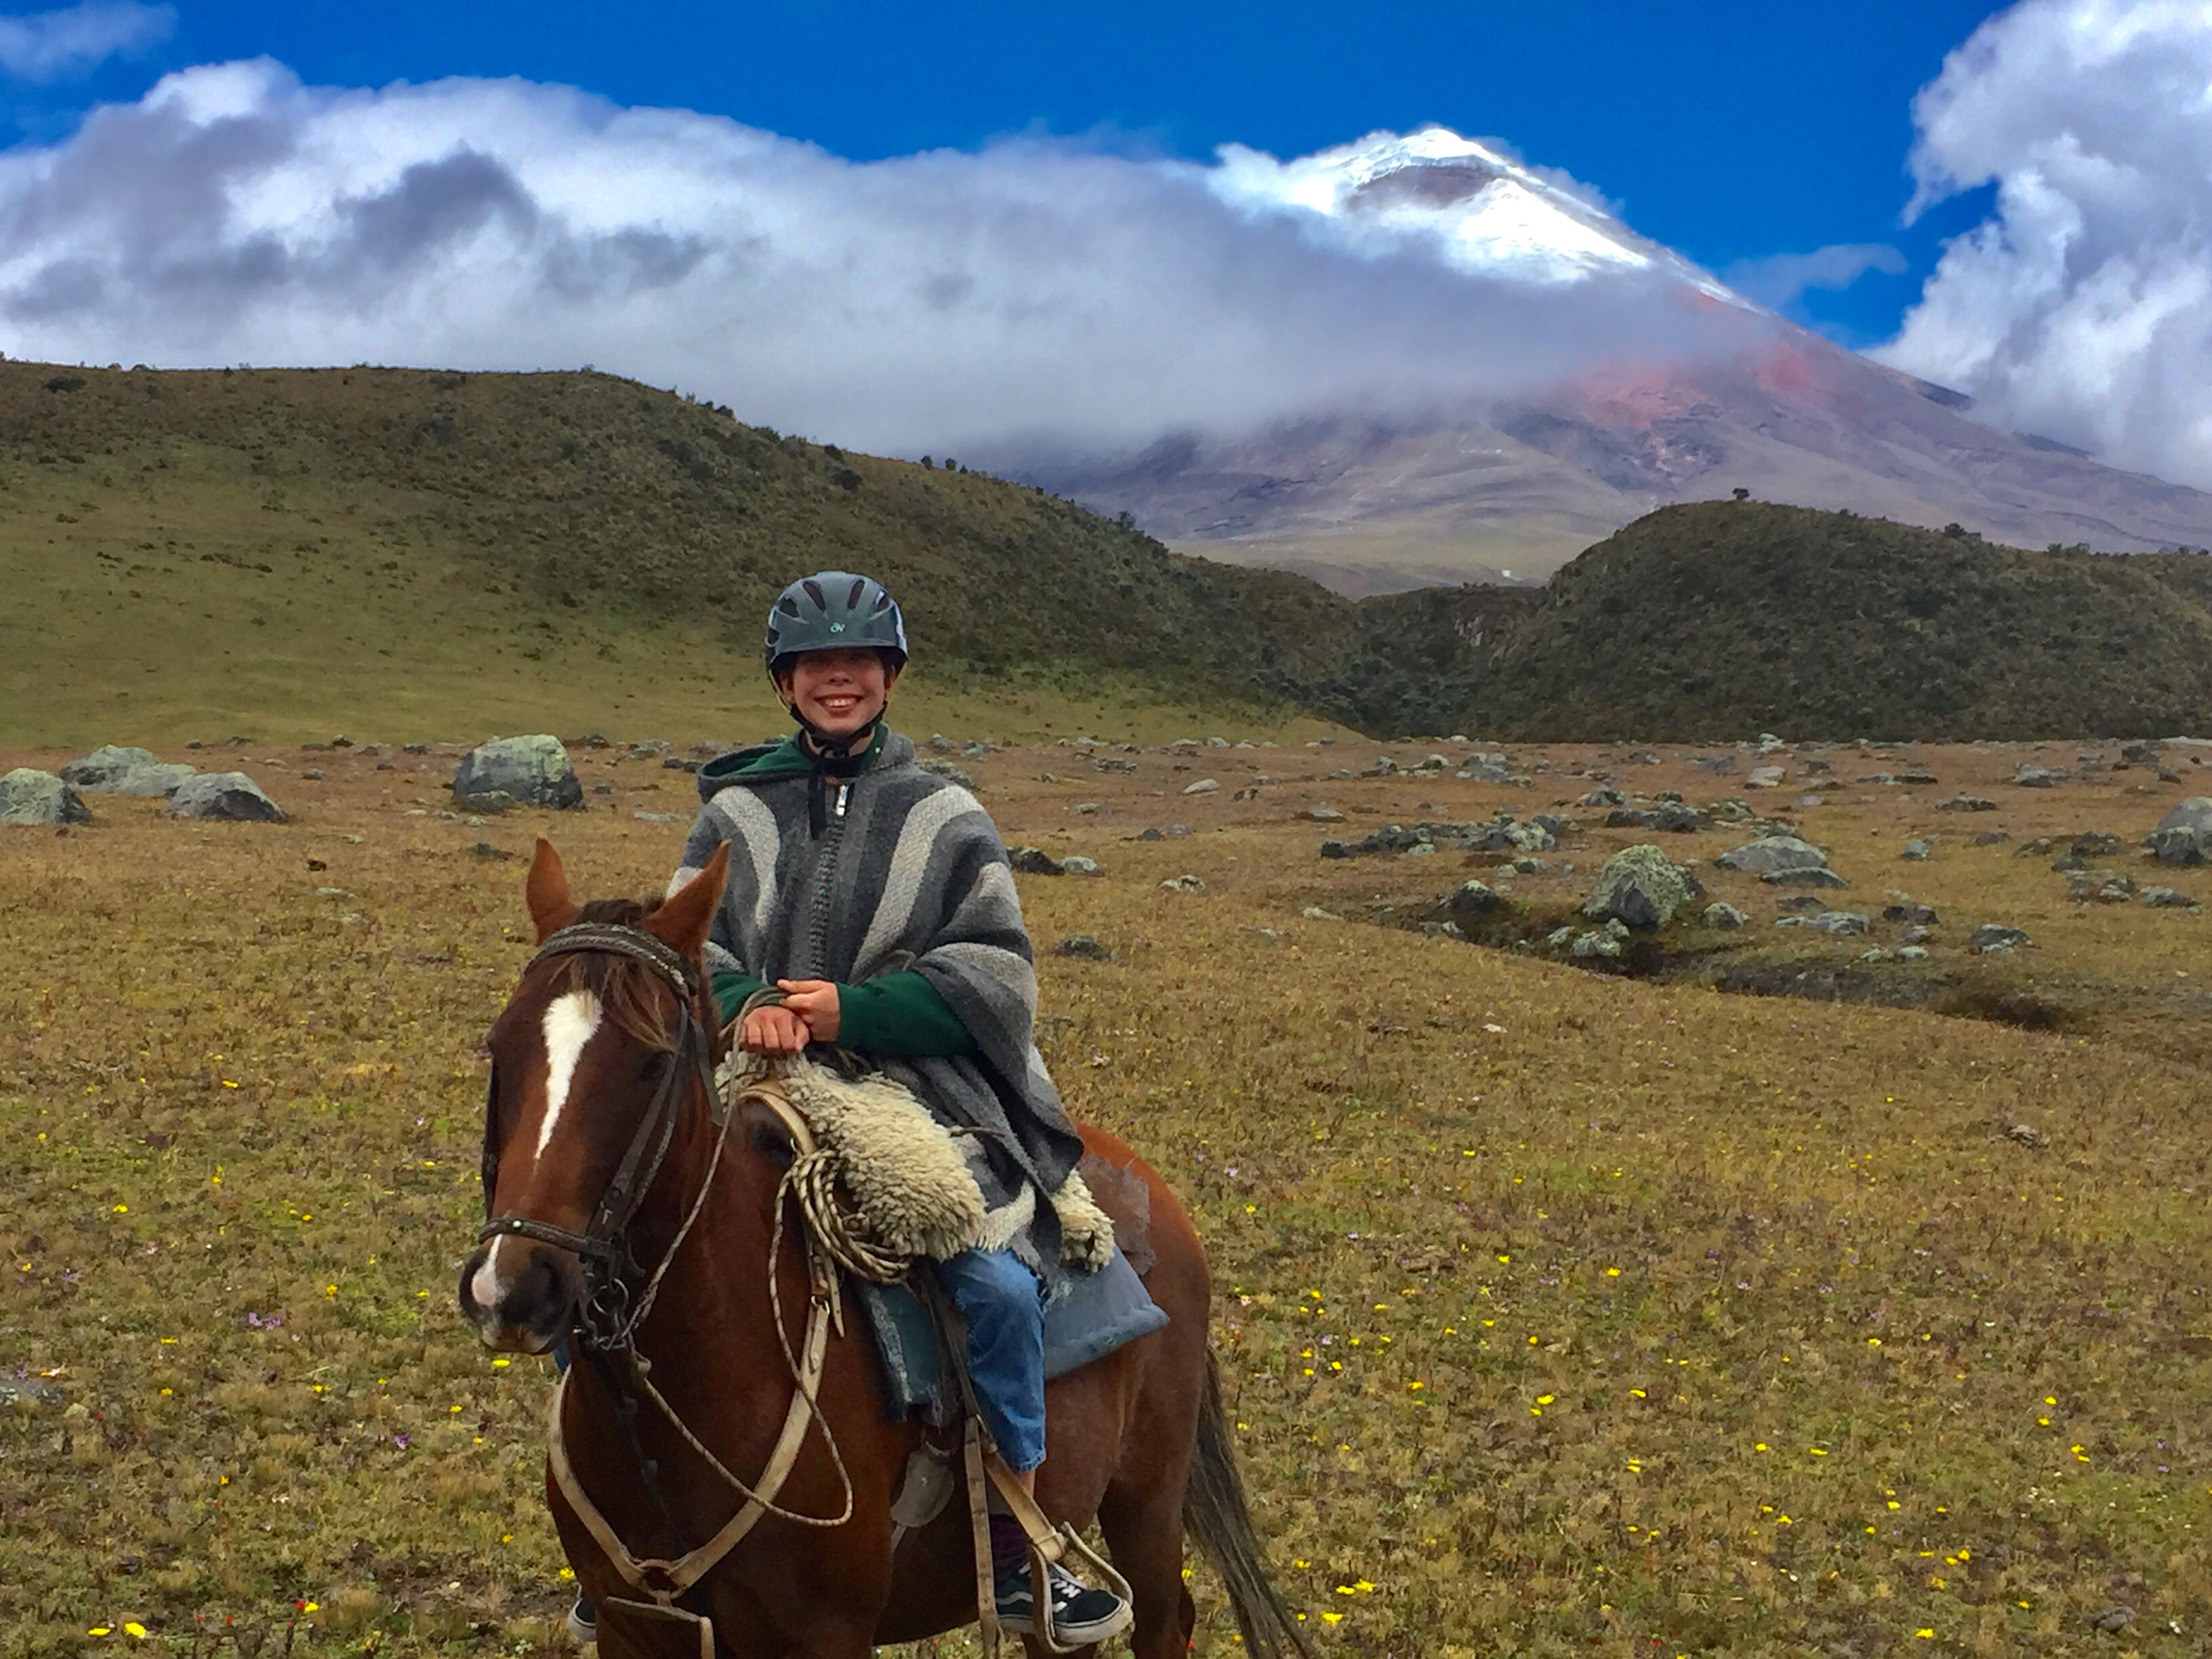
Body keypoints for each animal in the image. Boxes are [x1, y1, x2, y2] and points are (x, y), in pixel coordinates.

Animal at [455, 844, 1300, 1659]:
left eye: (652, 1062)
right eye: (500, 1049)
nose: (514, 1288)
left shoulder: (825, 1634)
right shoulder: (633, 1628)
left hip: (1148, 1502)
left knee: (1164, 1618)